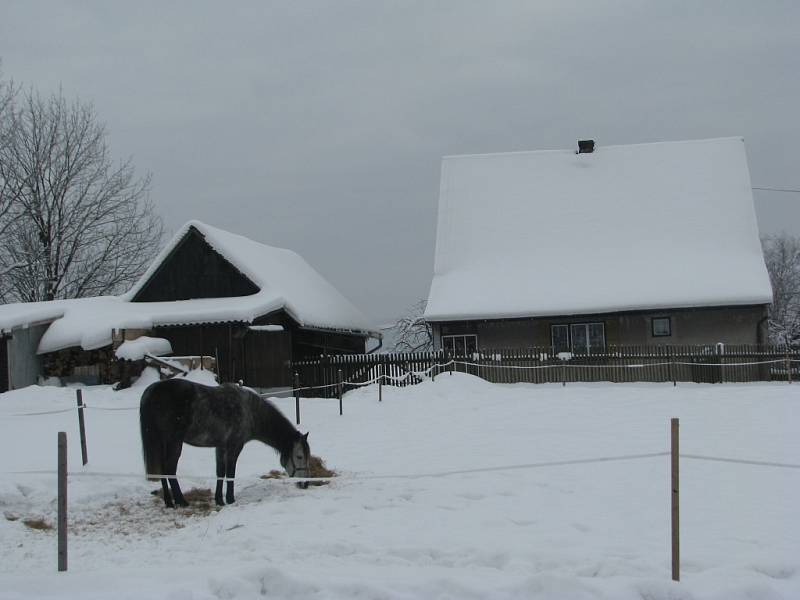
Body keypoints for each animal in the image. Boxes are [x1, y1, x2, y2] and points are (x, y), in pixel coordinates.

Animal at [141, 380, 310, 506]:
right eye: (300, 456)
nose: (306, 484)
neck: (250, 411)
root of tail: (152, 391)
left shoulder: (220, 446)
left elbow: (220, 472)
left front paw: (219, 500)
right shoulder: (234, 446)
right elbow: (230, 472)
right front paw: (230, 499)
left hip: (162, 442)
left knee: (162, 469)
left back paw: (169, 502)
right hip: (174, 442)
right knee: (169, 468)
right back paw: (181, 501)